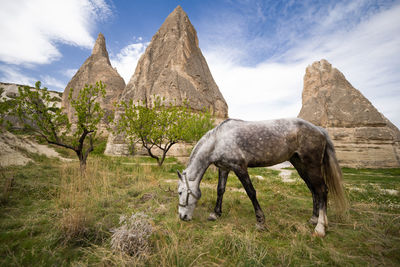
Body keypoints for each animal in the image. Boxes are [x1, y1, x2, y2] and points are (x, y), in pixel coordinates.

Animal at [177, 118, 348, 238]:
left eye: (180, 192)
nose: (182, 216)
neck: (218, 140)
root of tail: (319, 130)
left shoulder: (240, 167)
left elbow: (251, 192)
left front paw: (260, 222)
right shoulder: (224, 168)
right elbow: (220, 190)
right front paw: (215, 214)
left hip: (312, 166)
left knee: (322, 190)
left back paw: (320, 228)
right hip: (300, 165)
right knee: (314, 190)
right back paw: (313, 219)